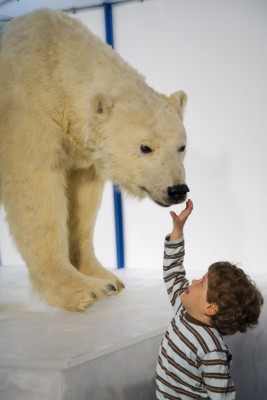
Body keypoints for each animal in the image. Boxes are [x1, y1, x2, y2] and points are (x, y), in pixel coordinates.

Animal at [0, 8, 189, 310]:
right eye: (145, 147)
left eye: (181, 146)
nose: (177, 190)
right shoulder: (25, 114)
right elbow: (34, 191)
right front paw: (82, 290)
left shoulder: (82, 152)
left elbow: (82, 203)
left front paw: (107, 278)